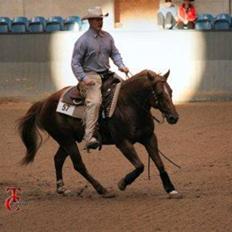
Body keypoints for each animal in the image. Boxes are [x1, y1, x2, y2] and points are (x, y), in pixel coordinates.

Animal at [18, 69, 181, 198]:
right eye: (159, 93)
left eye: (171, 91)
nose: (174, 117)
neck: (129, 105)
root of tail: (44, 102)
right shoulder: (123, 143)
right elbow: (140, 166)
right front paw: (122, 183)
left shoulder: (149, 138)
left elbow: (159, 163)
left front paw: (170, 189)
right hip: (65, 139)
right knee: (78, 165)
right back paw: (102, 190)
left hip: (67, 140)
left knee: (58, 159)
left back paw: (62, 188)